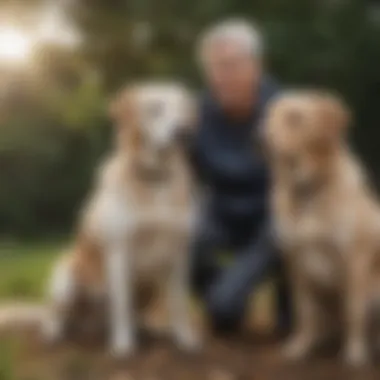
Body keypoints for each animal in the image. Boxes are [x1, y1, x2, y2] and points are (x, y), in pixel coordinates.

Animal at [42, 82, 200, 356]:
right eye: (155, 108)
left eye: (182, 109)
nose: (183, 132)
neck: (155, 177)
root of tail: (91, 325)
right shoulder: (120, 250)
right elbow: (122, 304)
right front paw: (123, 346)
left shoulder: (180, 253)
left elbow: (178, 303)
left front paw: (185, 341)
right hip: (66, 276)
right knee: (57, 314)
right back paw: (55, 333)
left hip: (149, 289)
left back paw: (149, 331)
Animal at [262, 90, 380, 366]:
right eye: (269, 116)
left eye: (295, 117)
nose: (260, 139)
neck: (309, 190)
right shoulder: (296, 262)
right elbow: (305, 312)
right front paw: (299, 348)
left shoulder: (355, 261)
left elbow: (354, 310)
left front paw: (354, 353)